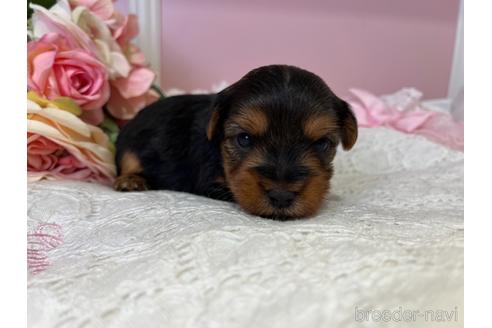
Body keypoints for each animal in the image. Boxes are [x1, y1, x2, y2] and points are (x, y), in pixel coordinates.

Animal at [114, 64, 358, 219]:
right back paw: (131, 180)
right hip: (129, 148)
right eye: (244, 139)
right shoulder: (210, 181)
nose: (281, 196)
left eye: (321, 143)